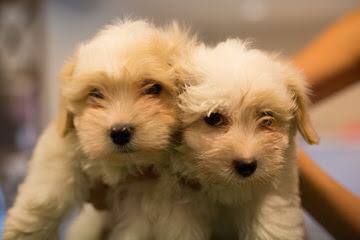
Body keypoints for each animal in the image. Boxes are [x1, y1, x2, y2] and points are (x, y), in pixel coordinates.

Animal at [2, 19, 195, 240]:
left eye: (154, 88)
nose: (120, 132)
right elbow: (47, 189)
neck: (125, 165)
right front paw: (24, 232)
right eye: (95, 93)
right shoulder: (66, 145)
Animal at [174, 40, 318, 239]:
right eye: (214, 118)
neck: (231, 189)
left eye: (267, 117)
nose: (246, 166)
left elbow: (271, 227)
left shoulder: (274, 198)